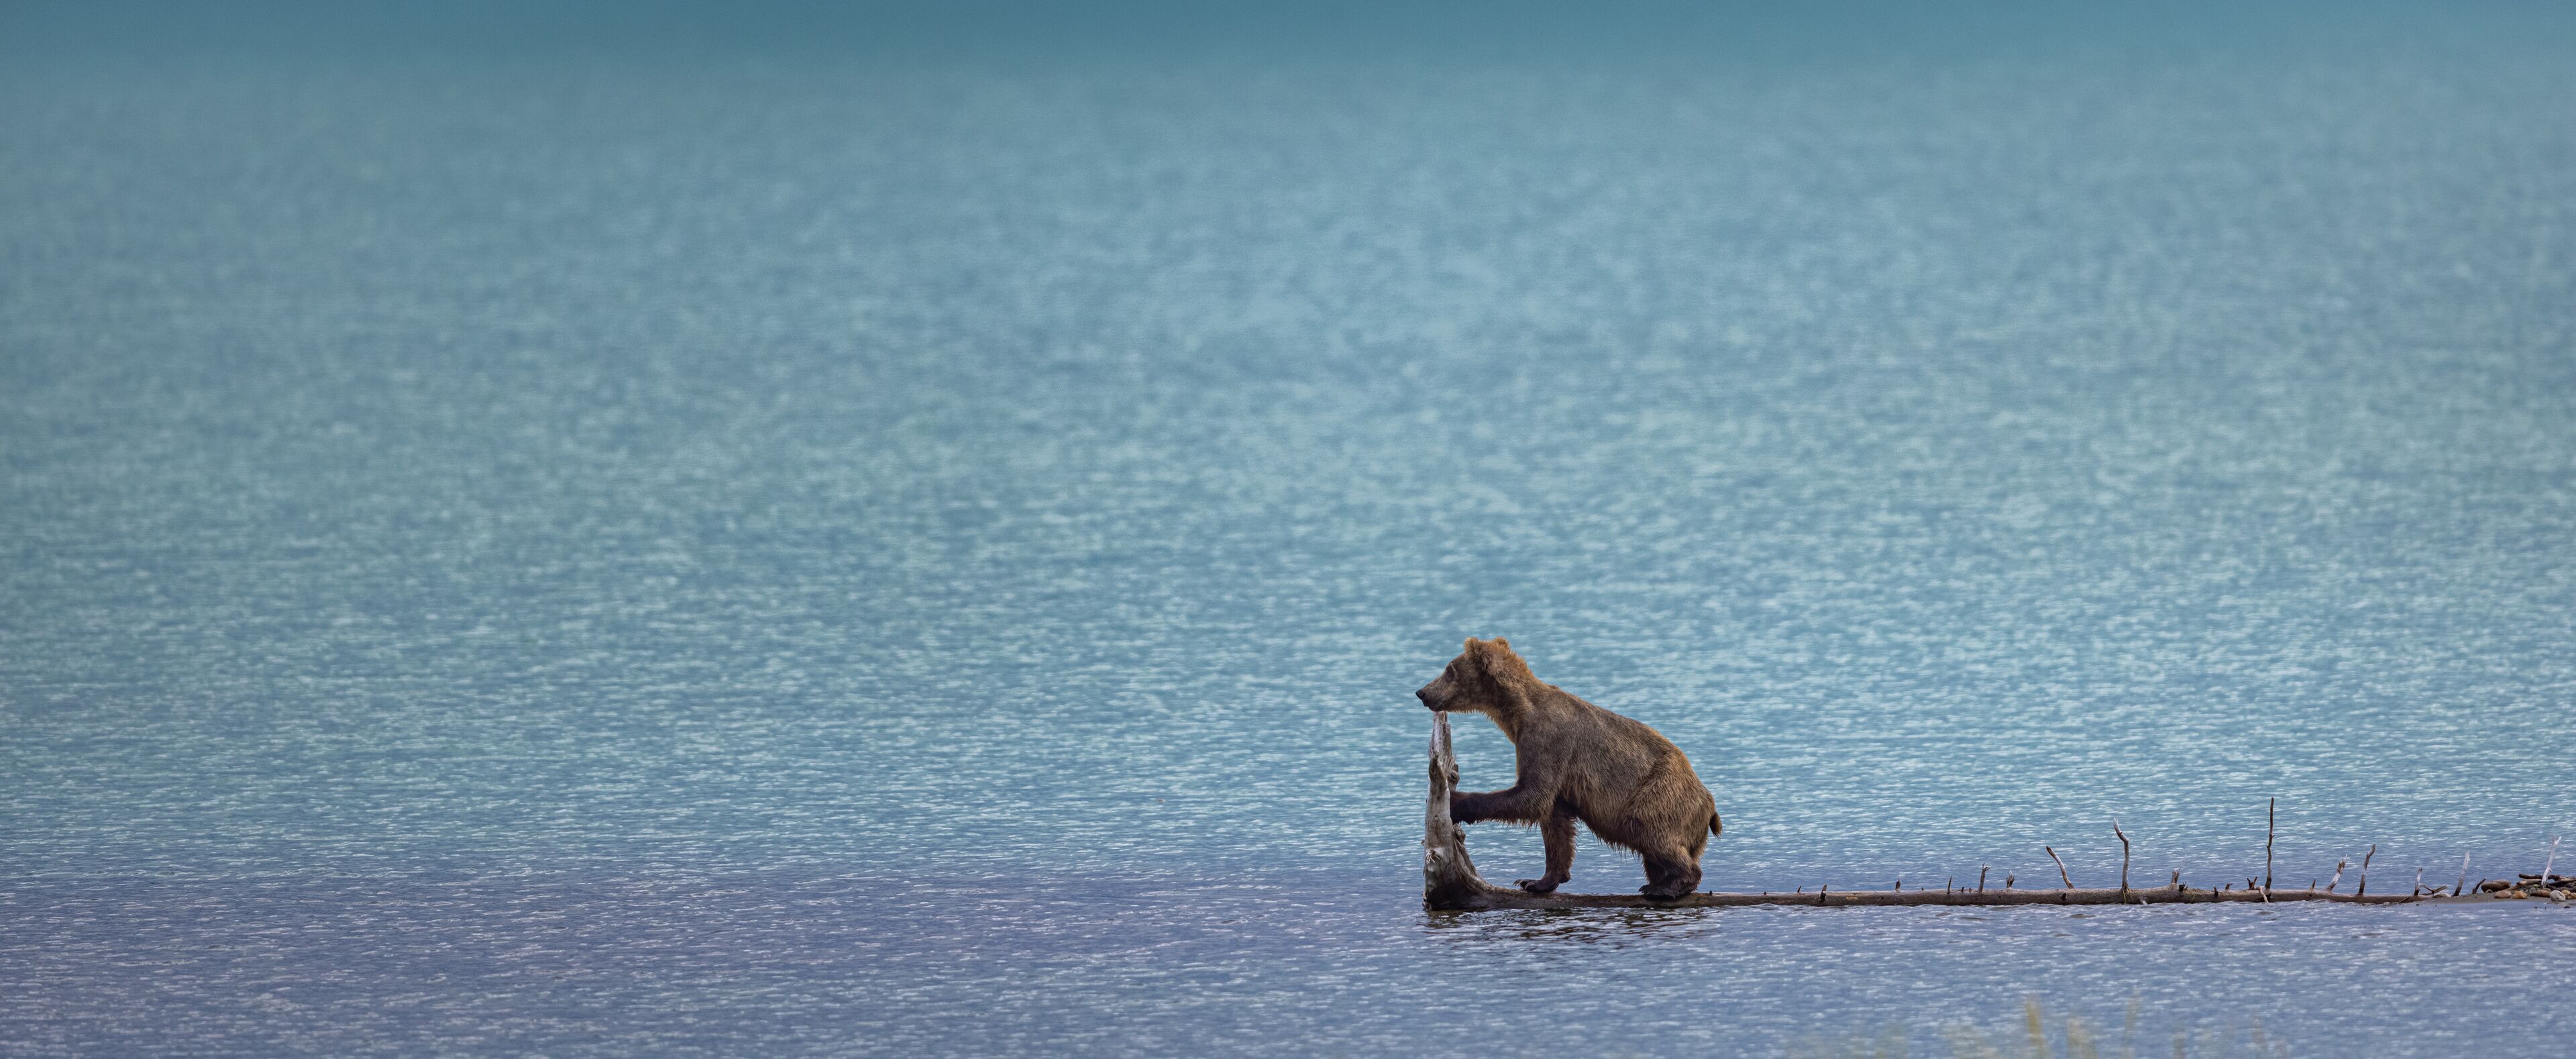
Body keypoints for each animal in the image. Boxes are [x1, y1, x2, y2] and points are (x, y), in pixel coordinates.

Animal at [1416, 637, 1722, 900]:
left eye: (1449, 670)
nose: (1422, 692)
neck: (1517, 715)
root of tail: (1709, 804)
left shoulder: (1547, 742)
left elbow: (1531, 796)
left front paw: (1457, 802)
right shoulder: (1557, 771)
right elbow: (1556, 822)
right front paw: (1537, 881)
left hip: (1659, 794)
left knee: (1647, 829)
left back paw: (1668, 886)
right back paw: (1659, 882)